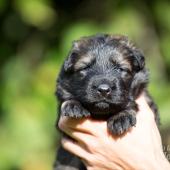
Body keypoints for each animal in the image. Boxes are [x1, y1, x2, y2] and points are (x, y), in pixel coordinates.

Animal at [54, 33, 159, 169]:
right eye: (86, 68)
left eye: (120, 68)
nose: (103, 90)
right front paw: (73, 105)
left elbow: (131, 104)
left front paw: (121, 117)